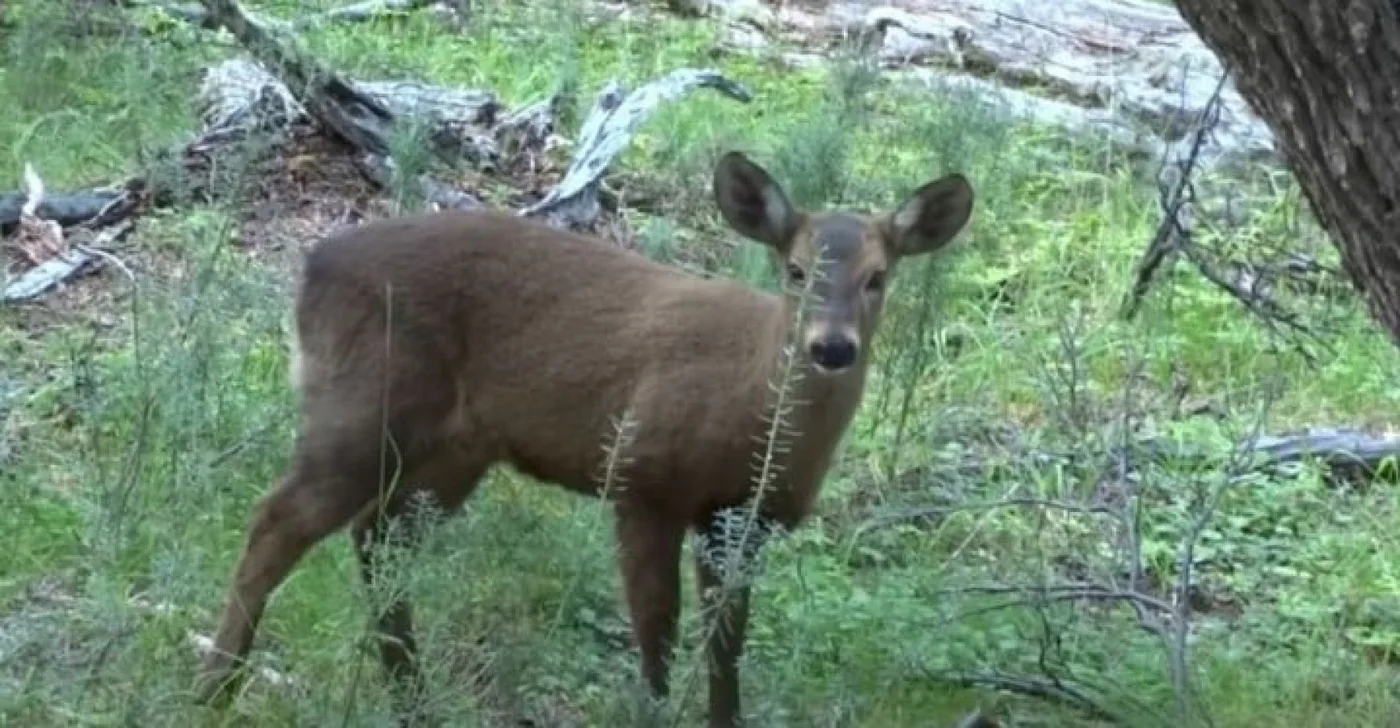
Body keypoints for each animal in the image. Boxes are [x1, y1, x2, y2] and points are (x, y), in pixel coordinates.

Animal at [194, 150, 974, 722]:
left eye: (878, 278)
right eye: (798, 270)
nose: (832, 347)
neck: (750, 412)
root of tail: (311, 267)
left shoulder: (742, 521)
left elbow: (727, 650)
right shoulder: (646, 482)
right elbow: (659, 636)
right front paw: (650, 713)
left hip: (455, 451)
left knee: (376, 537)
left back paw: (412, 700)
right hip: (361, 409)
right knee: (277, 522)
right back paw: (215, 688)